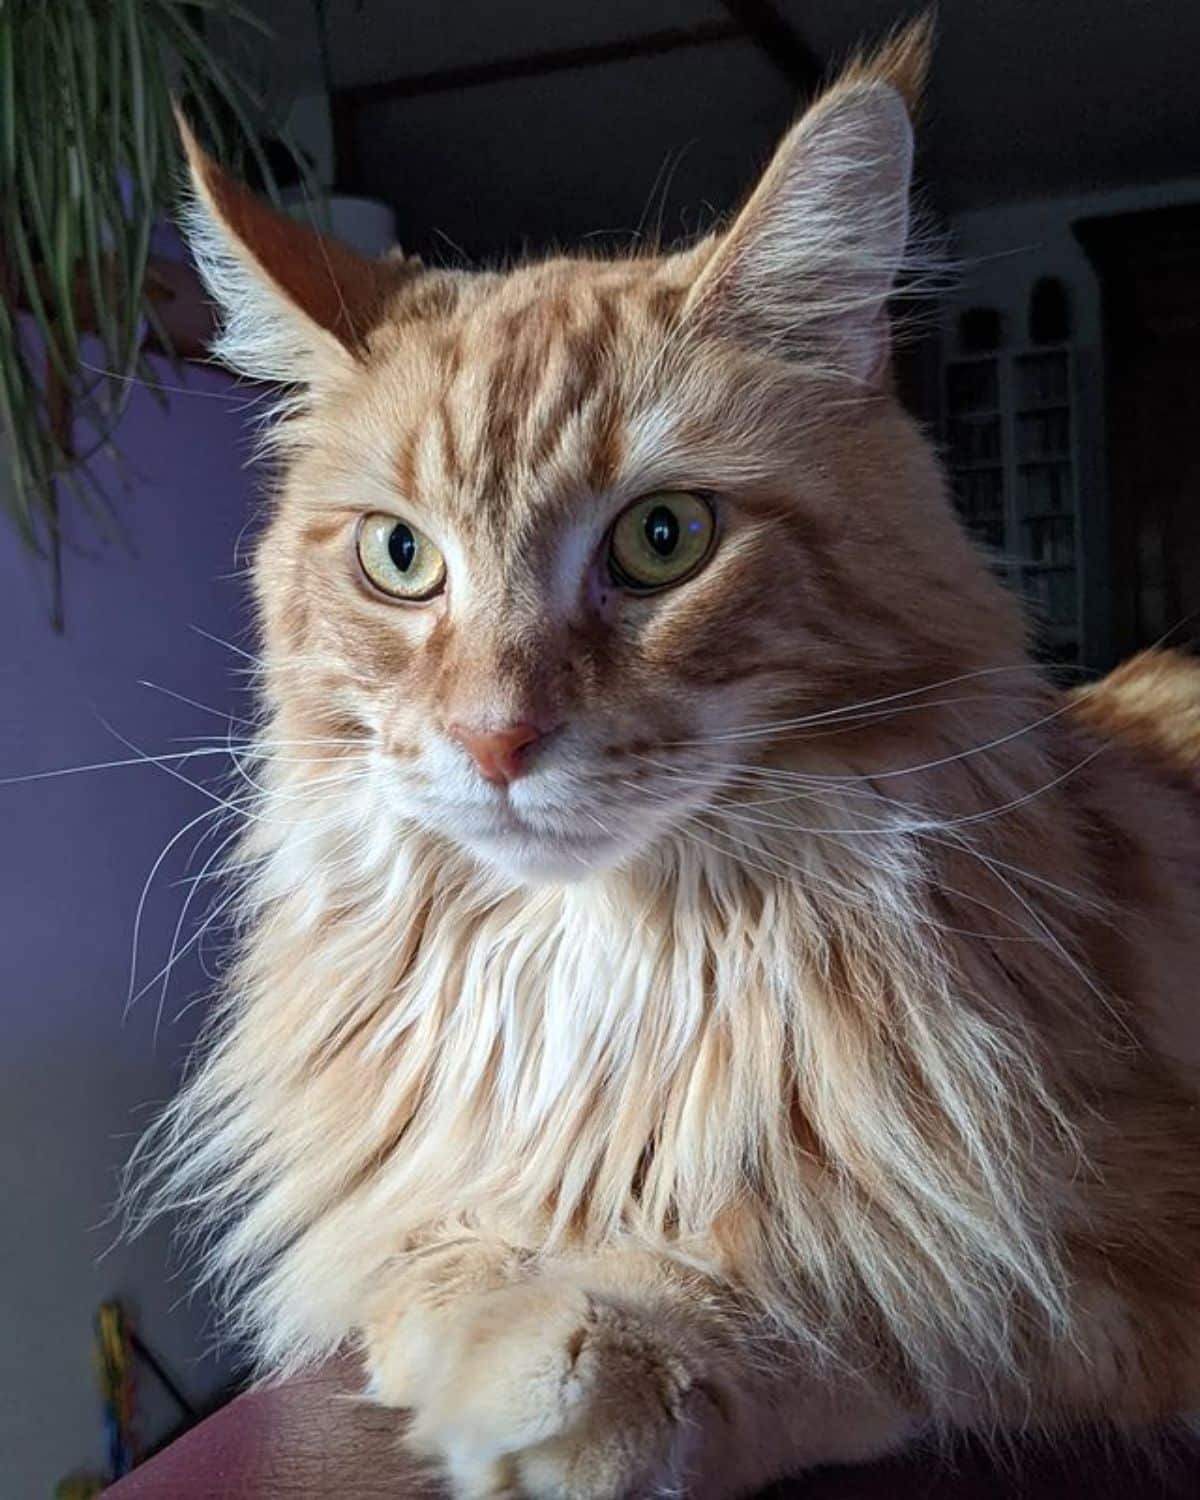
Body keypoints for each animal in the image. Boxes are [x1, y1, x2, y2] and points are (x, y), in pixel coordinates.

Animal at [129, 14, 1200, 1500]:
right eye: (400, 556)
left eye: (663, 540)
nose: (495, 735)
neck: (607, 961)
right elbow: (412, 1249)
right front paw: (472, 1304)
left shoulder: (1101, 1239)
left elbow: (882, 1296)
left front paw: (575, 1356)